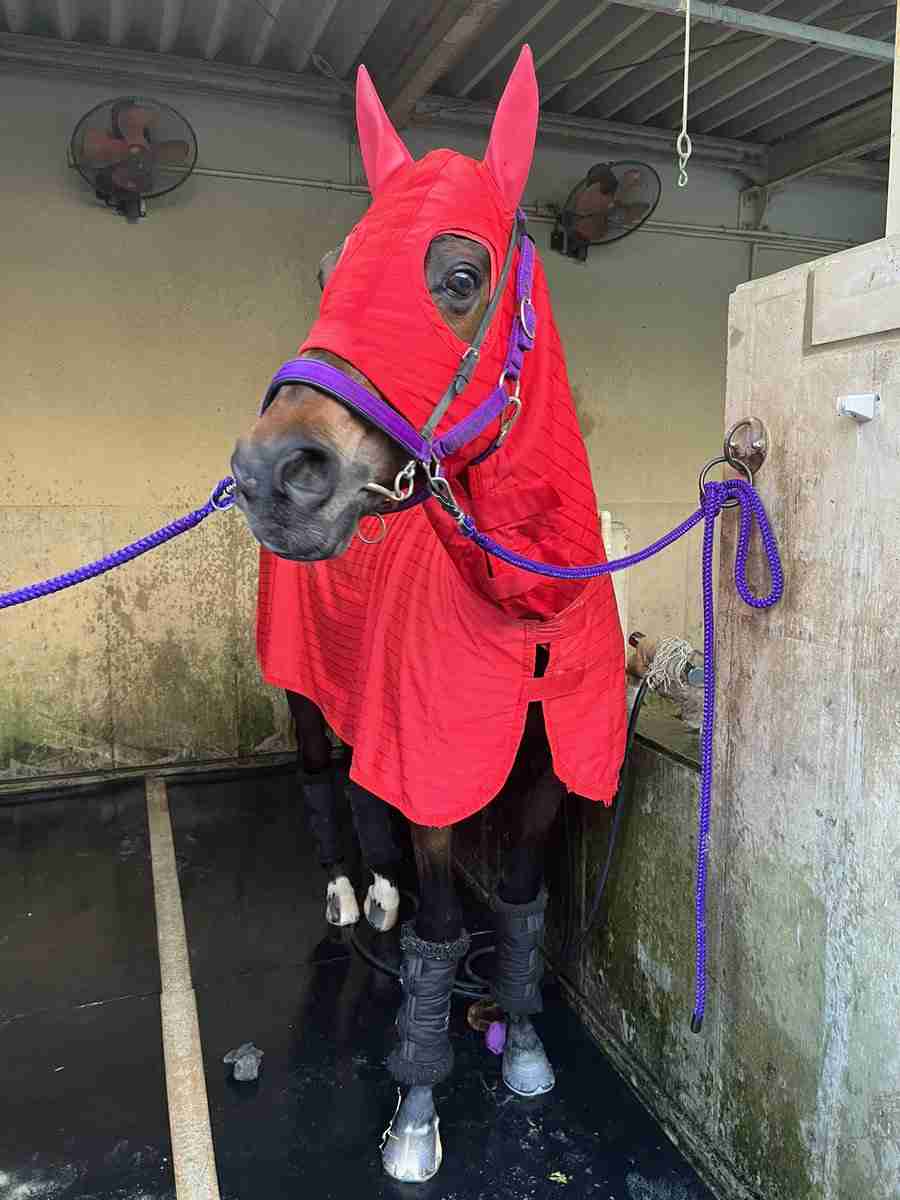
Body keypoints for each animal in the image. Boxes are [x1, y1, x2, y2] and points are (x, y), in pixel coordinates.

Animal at [231, 46, 626, 1183]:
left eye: (457, 276)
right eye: (330, 273)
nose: (273, 474)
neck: (526, 610)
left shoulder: (547, 770)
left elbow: (524, 908)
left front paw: (527, 1047)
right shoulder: (444, 776)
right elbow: (447, 930)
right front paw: (415, 1112)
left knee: (368, 791)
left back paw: (379, 891)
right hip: (300, 687)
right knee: (325, 780)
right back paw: (345, 895)